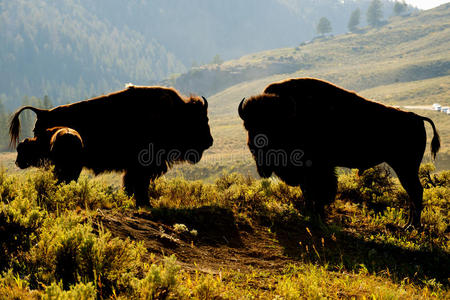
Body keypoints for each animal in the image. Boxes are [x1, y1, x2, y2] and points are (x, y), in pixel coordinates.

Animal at [10, 84, 214, 206]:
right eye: (201, 119)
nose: (210, 141)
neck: (175, 114)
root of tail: (43, 112)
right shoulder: (142, 166)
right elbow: (138, 184)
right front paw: (144, 203)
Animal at [239, 77, 440, 227]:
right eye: (248, 125)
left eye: (273, 126)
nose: (256, 145)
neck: (291, 115)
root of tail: (417, 118)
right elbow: (307, 191)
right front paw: (309, 213)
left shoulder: (318, 168)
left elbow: (320, 190)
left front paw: (317, 214)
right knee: (413, 193)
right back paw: (409, 225)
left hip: (405, 167)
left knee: (415, 191)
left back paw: (412, 226)